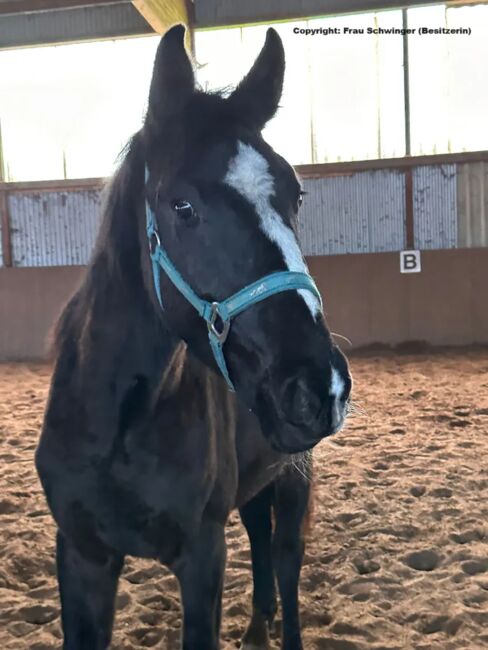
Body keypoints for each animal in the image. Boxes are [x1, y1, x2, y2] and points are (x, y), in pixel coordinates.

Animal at [37, 25, 350, 648]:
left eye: (296, 195)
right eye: (182, 205)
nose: (318, 387)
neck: (121, 424)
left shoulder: (202, 556)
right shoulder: (82, 557)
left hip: (293, 475)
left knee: (285, 559)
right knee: (259, 539)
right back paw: (255, 629)